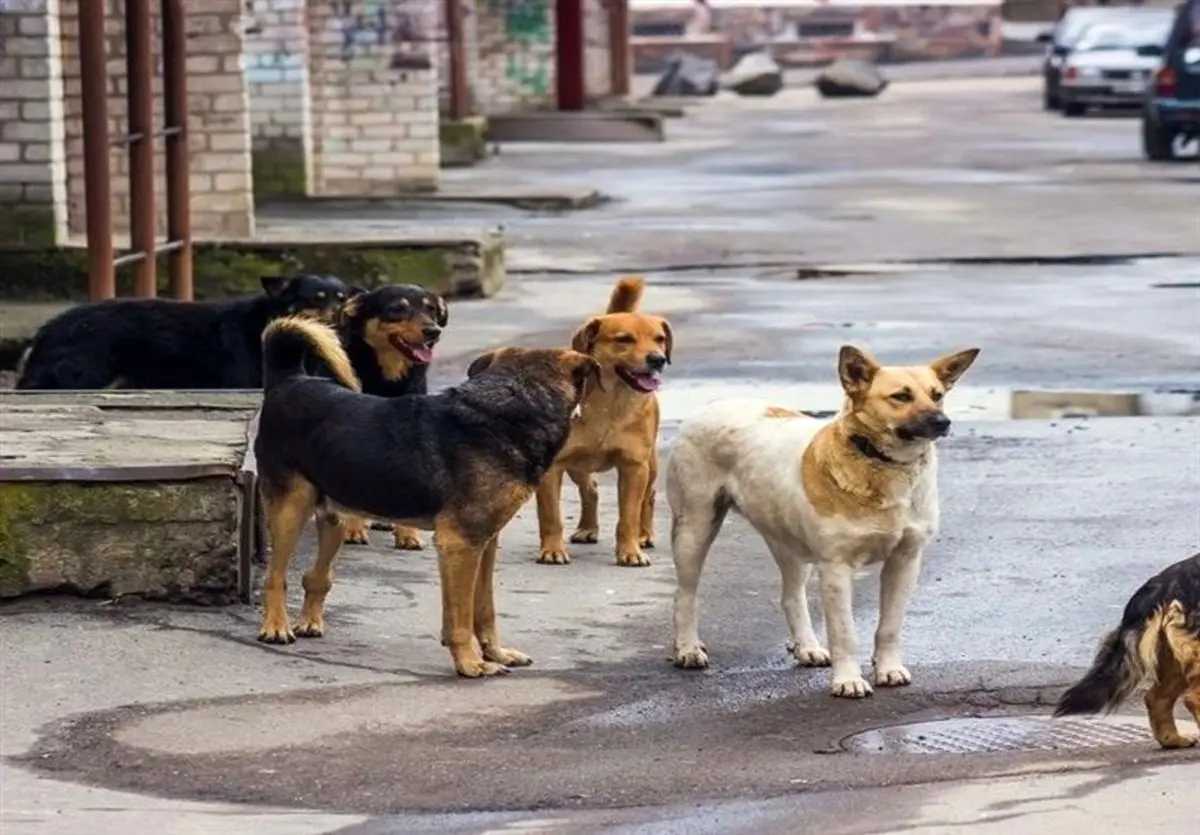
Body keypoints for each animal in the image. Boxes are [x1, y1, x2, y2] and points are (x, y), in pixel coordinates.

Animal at [16, 273, 352, 391]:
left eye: (342, 299)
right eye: (316, 299)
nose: (339, 319)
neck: (267, 320)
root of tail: (48, 330)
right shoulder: (241, 382)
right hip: (87, 373)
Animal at [333, 284, 451, 551]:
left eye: (431, 309)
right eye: (397, 309)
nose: (433, 331)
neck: (388, 380)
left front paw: (408, 534)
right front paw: (353, 529)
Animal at [537, 277, 676, 571]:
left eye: (660, 339)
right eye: (624, 340)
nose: (657, 359)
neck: (610, 402)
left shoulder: (634, 467)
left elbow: (629, 517)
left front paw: (630, 550)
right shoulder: (552, 467)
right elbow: (551, 516)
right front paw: (552, 549)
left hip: (650, 465)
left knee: (649, 496)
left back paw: (644, 534)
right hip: (577, 466)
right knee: (590, 489)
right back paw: (588, 528)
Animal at [672, 343, 979, 695]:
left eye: (937, 395)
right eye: (901, 396)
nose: (943, 422)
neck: (881, 464)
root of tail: (712, 405)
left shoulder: (905, 561)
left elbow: (889, 626)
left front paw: (888, 669)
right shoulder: (836, 568)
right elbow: (845, 632)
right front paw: (848, 680)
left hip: (787, 542)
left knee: (791, 597)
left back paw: (807, 647)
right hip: (694, 530)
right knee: (685, 594)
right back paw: (687, 648)